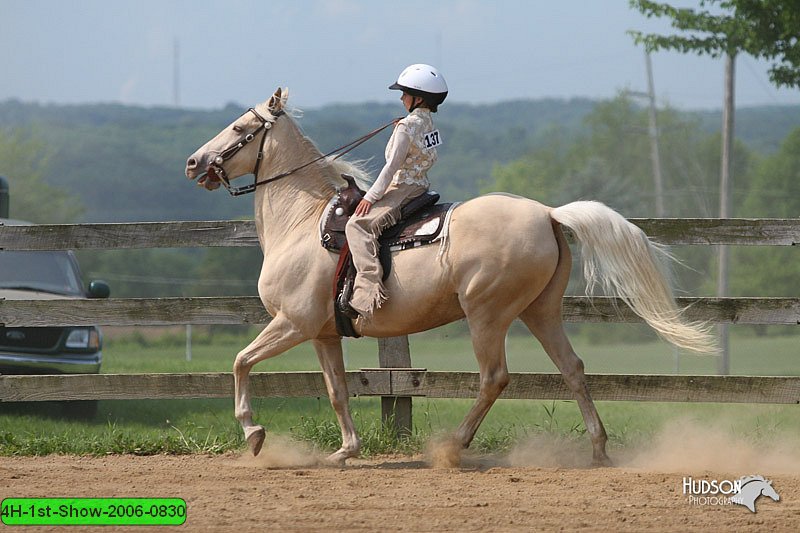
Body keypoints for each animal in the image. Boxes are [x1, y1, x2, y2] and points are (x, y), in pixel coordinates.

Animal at [188, 87, 720, 466]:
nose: (195, 162)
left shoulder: (292, 323)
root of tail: (548, 214)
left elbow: (240, 361)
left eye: (239, 126)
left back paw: (452, 447)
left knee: (494, 378)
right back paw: (599, 450)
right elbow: (337, 391)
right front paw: (345, 451)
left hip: (487, 315)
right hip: (541, 311)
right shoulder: (322, 334)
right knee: (572, 368)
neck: (301, 223)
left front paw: (254, 434)